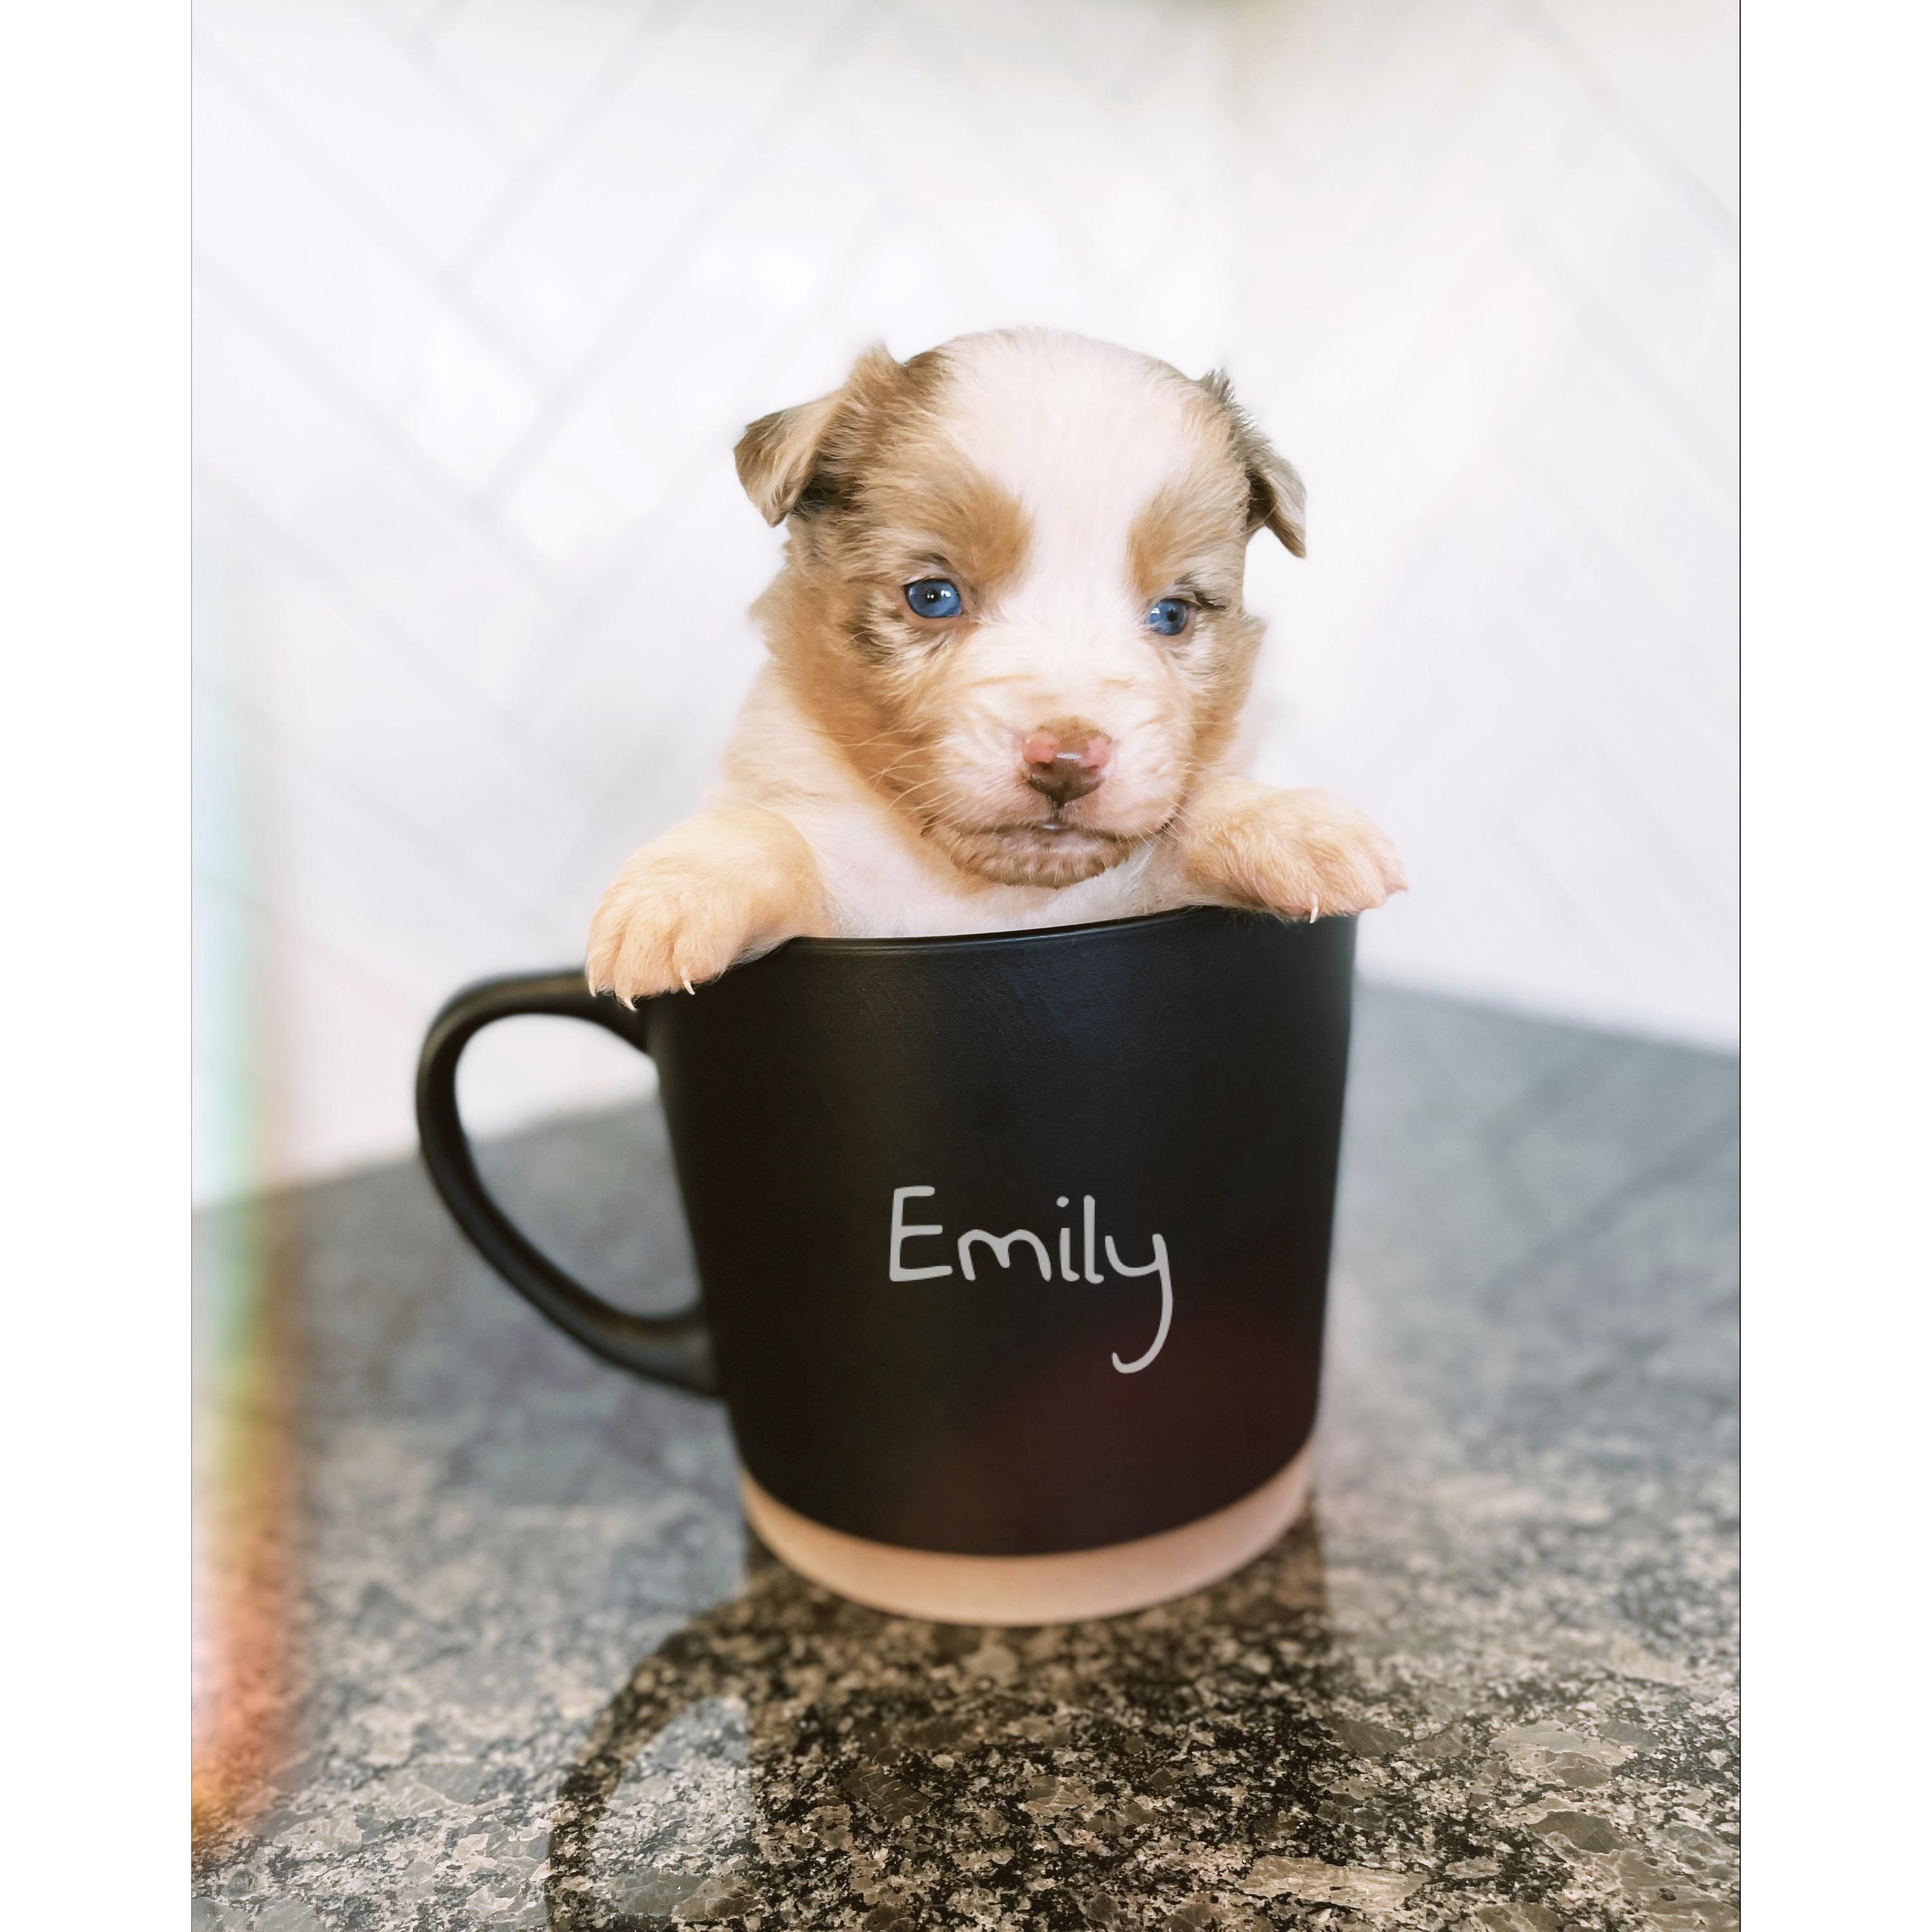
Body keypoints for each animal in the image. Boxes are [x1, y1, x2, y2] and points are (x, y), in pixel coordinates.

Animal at [586, 328, 1403, 1002]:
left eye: (1172, 614)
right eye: (933, 596)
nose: (1068, 762)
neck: (986, 896)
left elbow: (1188, 814)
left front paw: (1292, 826)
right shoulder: (843, 885)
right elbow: (764, 831)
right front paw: (675, 896)